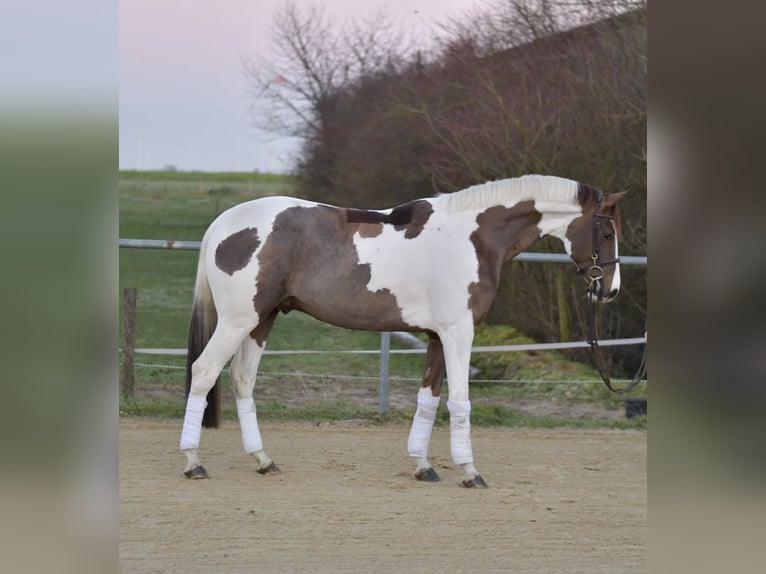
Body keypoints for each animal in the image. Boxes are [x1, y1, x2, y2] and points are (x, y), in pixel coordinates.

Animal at [179, 174, 625, 487]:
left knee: (242, 379)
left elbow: (428, 399)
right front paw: (470, 471)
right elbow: (459, 401)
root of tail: (222, 223)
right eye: (606, 232)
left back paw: (263, 460)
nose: (611, 290)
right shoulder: (459, 333)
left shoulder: (436, 336)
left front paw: (423, 466)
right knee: (204, 372)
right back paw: (193, 462)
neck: (473, 236)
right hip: (239, 320)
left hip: (263, 318)